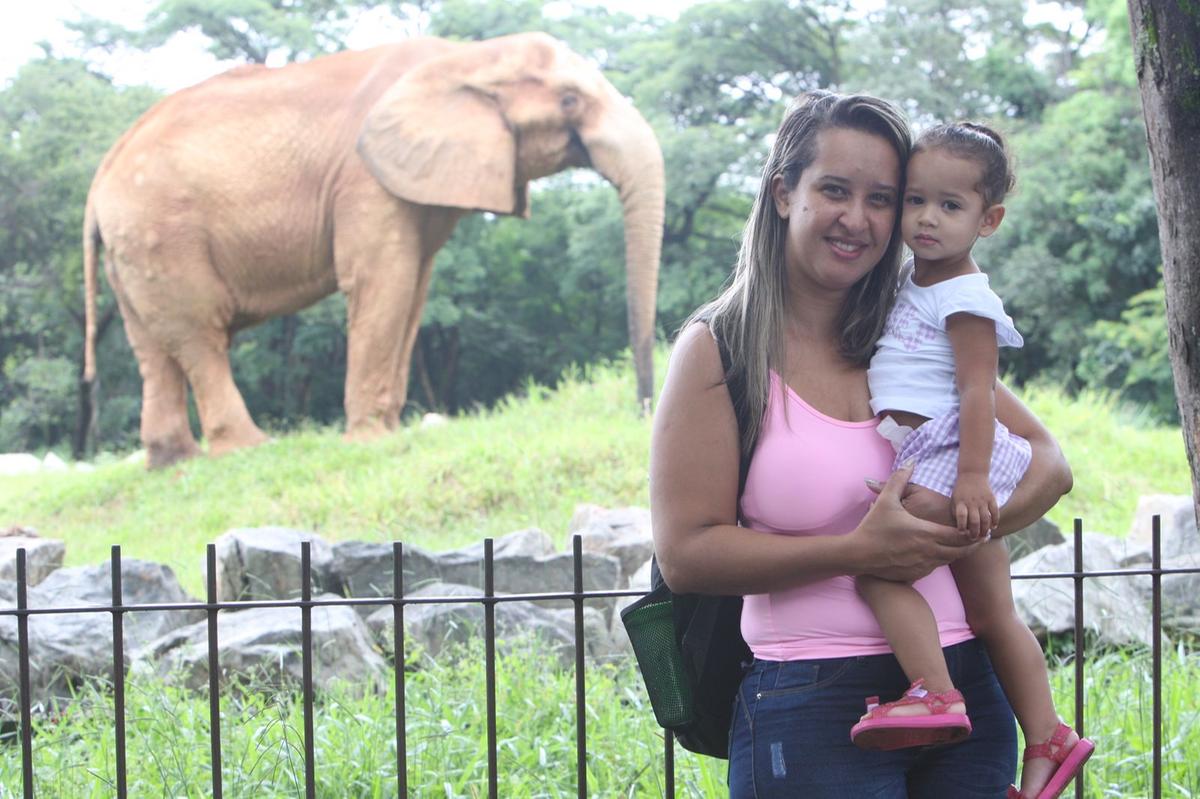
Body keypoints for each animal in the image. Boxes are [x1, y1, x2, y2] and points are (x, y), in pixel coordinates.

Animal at [84, 32, 667, 467]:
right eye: (570, 100)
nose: (642, 412)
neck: (467, 54)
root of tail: (97, 185)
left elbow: (415, 290)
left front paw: (389, 431)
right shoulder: (364, 180)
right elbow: (384, 281)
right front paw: (370, 439)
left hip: (133, 247)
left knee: (152, 347)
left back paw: (174, 462)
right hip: (163, 231)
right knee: (199, 333)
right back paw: (249, 449)